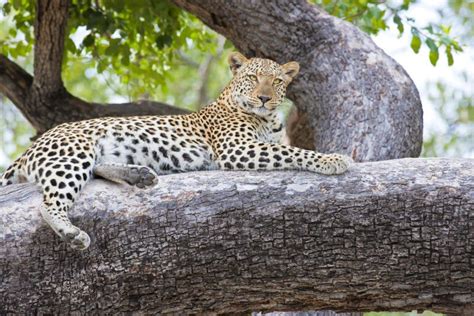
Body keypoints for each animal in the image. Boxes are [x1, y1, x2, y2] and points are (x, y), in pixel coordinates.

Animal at [0, 51, 352, 251]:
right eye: (252, 77)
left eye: (277, 81)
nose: (264, 98)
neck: (269, 118)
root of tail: (34, 144)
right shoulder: (236, 149)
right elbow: (295, 153)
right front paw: (334, 159)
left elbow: (289, 148)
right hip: (73, 154)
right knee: (49, 203)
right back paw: (72, 233)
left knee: (98, 169)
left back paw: (139, 176)